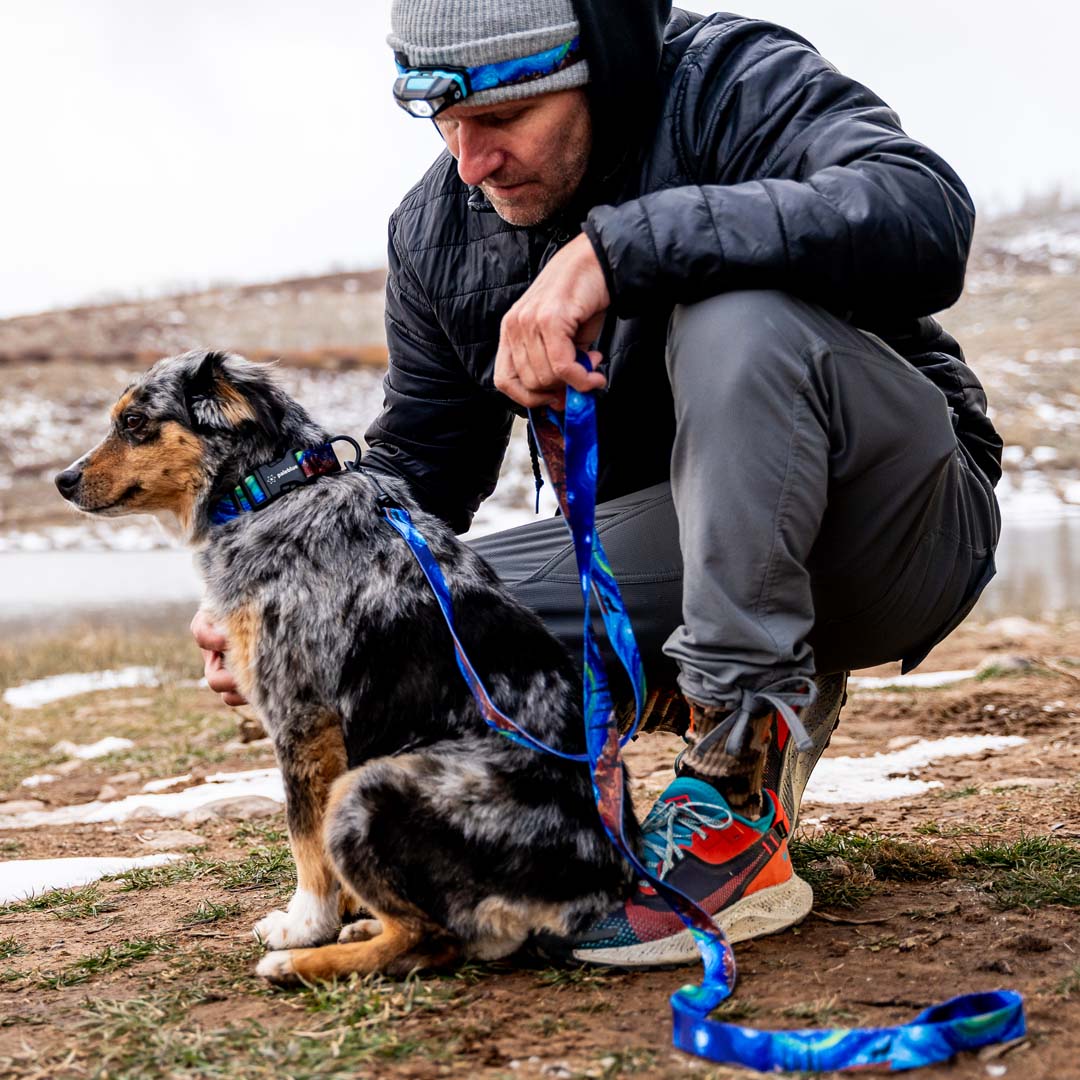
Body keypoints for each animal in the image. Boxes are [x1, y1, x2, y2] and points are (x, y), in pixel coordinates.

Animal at [52, 349, 639, 984]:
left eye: (134, 422)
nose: (62, 480)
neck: (271, 493)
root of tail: (599, 879)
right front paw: (343, 910)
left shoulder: (302, 717)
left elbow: (304, 839)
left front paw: (305, 922)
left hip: (369, 788)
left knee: (432, 940)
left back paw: (298, 961)